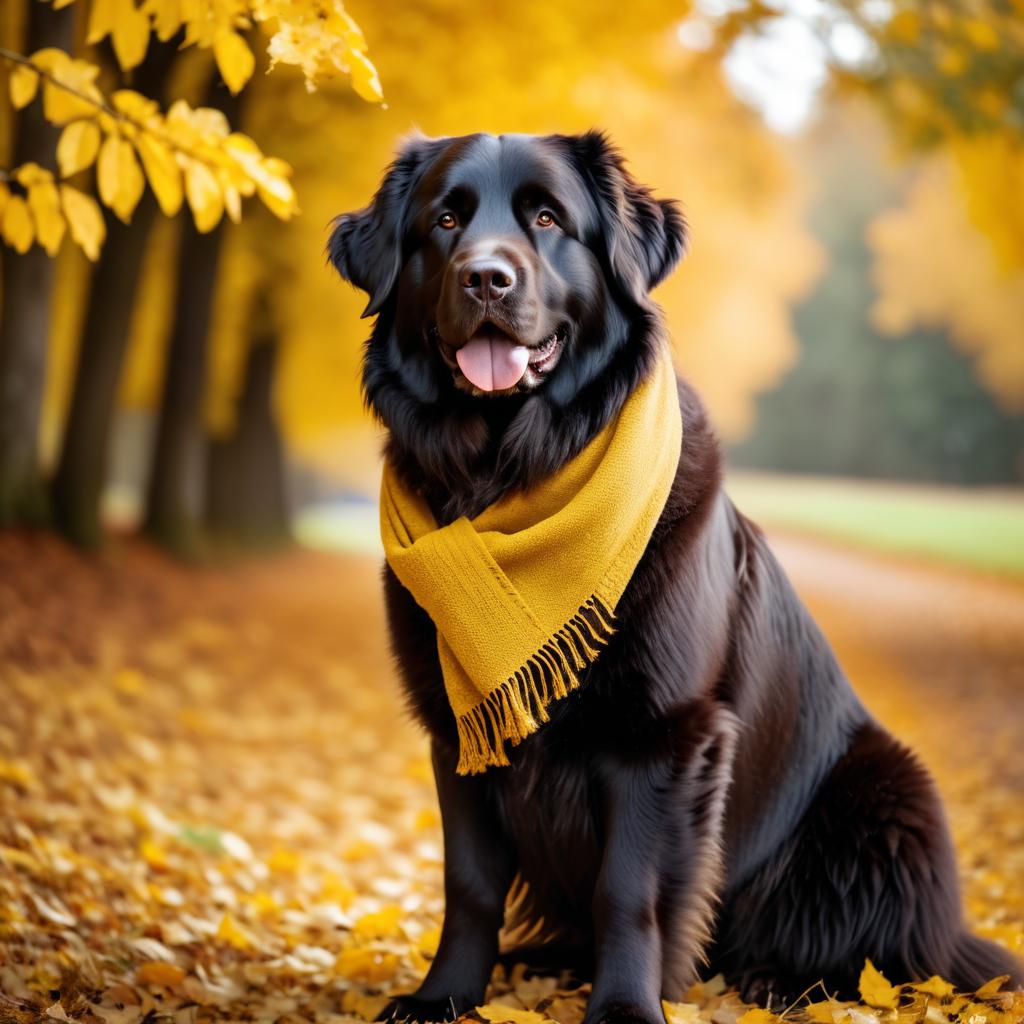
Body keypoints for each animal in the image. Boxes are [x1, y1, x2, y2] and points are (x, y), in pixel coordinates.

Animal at [329, 132, 1024, 1019]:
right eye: (446, 221)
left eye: (547, 218)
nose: (486, 277)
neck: (509, 478)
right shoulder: (460, 731)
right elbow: (471, 884)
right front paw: (445, 995)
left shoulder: (664, 733)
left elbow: (630, 890)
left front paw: (626, 1006)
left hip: (889, 794)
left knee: (880, 953)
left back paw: (777, 980)